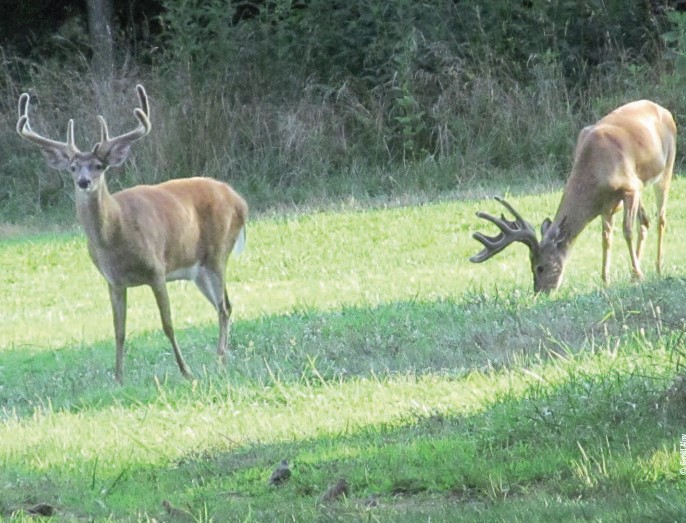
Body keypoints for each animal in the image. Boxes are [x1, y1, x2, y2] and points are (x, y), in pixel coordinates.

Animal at [16, 85, 250, 380]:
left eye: (99, 166)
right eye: (72, 167)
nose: (84, 182)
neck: (116, 234)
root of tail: (239, 200)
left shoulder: (157, 270)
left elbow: (167, 324)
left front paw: (185, 371)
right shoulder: (113, 281)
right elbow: (119, 331)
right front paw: (118, 377)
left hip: (218, 252)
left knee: (224, 306)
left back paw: (220, 361)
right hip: (198, 270)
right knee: (222, 306)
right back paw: (221, 358)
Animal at [472, 99, 676, 294]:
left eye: (540, 267)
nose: (540, 292)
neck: (594, 170)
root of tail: (663, 110)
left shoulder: (631, 188)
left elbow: (627, 231)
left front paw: (638, 274)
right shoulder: (606, 204)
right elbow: (606, 238)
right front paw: (606, 280)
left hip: (667, 167)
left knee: (661, 218)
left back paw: (657, 268)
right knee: (645, 221)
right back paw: (635, 272)